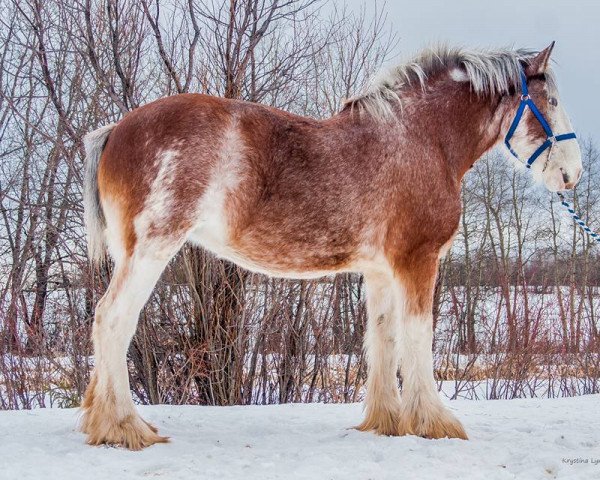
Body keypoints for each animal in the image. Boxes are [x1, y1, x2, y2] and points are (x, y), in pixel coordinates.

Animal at [79, 42, 580, 450]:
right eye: (553, 102)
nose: (572, 174)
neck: (420, 139)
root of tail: (116, 130)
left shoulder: (380, 272)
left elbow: (382, 337)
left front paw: (387, 421)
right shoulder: (417, 261)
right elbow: (418, 335)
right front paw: (435, 422)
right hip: (151, 250)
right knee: (112, 321)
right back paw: (124, 426)